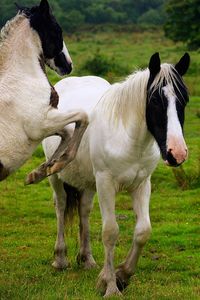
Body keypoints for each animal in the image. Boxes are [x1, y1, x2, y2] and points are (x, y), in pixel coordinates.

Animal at [0, 0, 88, 183]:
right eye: (57, 30)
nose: (68, 65)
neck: (22, 77)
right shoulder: (40, 125)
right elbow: (83, 116)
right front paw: (57, 165)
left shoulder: (47, 121)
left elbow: (68, 132)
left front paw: (40, 171)